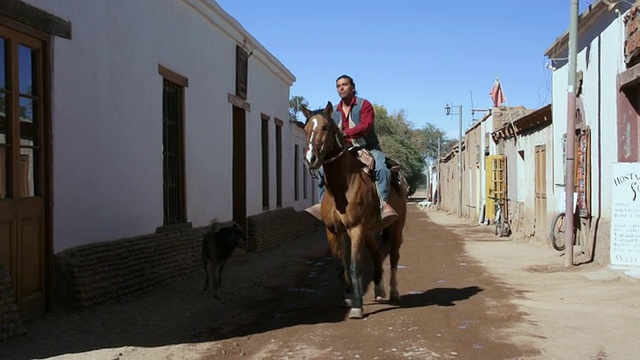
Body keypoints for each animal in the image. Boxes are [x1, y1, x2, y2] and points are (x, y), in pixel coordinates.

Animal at [298, 100, 404, 318]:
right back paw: (379, 290)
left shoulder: (355, 229)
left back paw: (394, 291)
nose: (310, 159)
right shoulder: (333, 231)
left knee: (394, 256)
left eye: (325, 127)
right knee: (377, 254)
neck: (343, 185)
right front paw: (346, 298)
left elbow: (355, 265)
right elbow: (340, 265)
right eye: (306, 128)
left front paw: (356, 305)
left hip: (397, 226)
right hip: (370, 232)